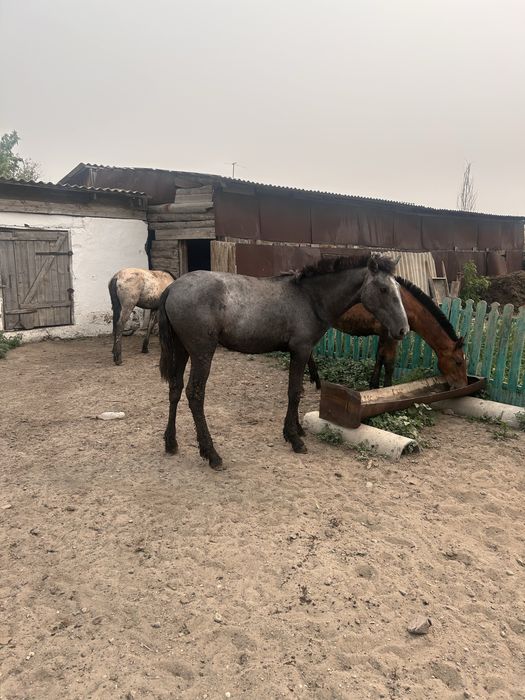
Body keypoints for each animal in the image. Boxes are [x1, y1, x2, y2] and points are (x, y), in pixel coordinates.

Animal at [158, 254, 409, 470]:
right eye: (384, 289)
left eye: (398, 288)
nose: (403, 330)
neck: (309, 298)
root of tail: (172, 288)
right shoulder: (301, 350)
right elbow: (294, 392)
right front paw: (294, 438)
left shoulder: (302, 352)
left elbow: (298, 391)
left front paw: (296, 429)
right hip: (202, 353)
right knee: (195, 394)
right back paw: (211, 454)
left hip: (182, 350)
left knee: (175, 388)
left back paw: (171, 443)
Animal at [307, 276, 467, 390]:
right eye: (458, 362)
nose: (462, 386)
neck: (406, 305)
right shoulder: (392, 337)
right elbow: (389, 363)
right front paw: (387, 388)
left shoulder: (384, 335)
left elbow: (380, 358)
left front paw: (374, 386)